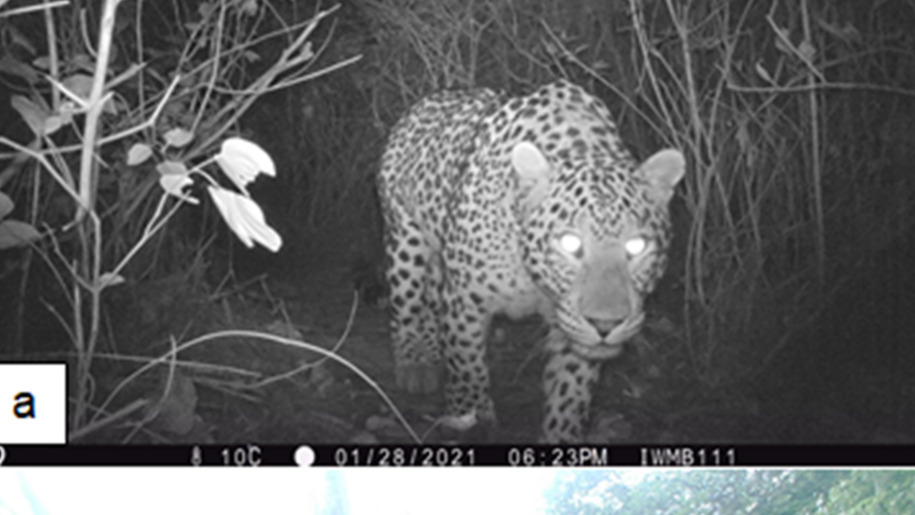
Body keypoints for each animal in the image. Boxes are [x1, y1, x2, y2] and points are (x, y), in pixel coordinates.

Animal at [375, 79, 685, 443]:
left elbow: (569, 394)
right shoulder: (466, 300)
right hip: (404, 237)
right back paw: (415, 364)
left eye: (637, 246)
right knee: (406, 302)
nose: (606, 325)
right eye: (570, 243)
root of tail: (428, 100)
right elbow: (466, 365)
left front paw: (561, 436)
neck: (531, 275)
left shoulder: (570, 324)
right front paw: (471, 419)